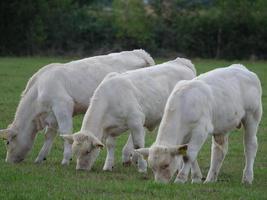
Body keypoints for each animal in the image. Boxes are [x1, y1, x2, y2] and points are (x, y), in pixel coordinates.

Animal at [0, 49, 155, 164]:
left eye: (7, 142)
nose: (8, 161)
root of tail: (139, 52)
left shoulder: (63, 106)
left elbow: (65, 133)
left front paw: (66, 159)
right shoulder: (52, 115)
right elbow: (49, 135)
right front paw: (40, 158)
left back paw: (128, 155)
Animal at [62, 57, 197, 172]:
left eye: (88, 151)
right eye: (75, 152)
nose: (80, 169)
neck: (111, 97)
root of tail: (181, 62)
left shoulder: (135, 120)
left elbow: (138, 145)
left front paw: (142, 168)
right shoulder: (112, 128)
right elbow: (110, 145)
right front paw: (108, 166)